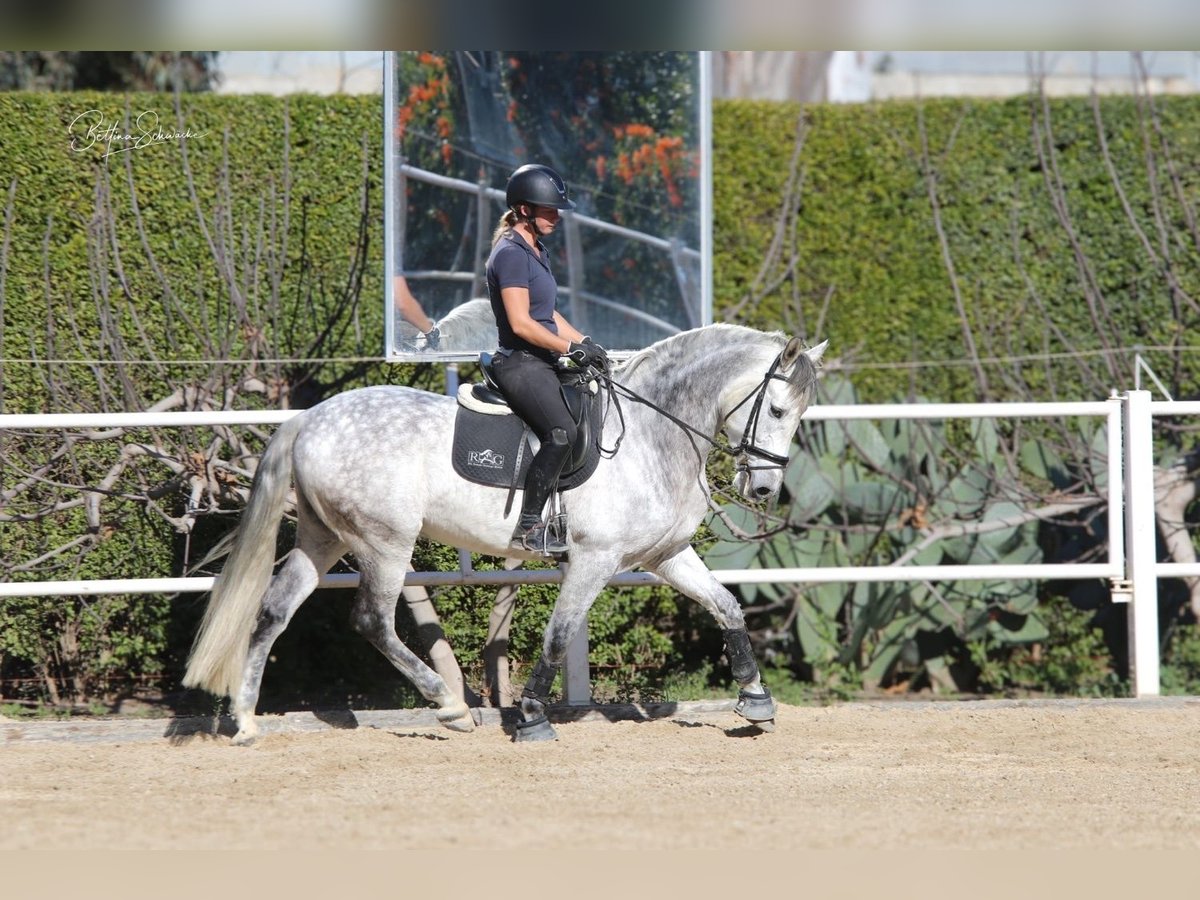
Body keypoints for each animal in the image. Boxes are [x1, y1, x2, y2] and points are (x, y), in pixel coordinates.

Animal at [184, 324, 825, 748]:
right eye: (776, 409)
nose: (764, 489)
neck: (650, 432)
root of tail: (307, 419)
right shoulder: (595, 559)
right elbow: (559, 635)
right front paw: (534, 716)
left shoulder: (665, 555)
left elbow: (728, 607)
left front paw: (756, 701)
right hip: (383, 542)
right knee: (372, 622)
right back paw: (449, 707)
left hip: (325, 539)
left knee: (273, 610)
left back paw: (247, 721)